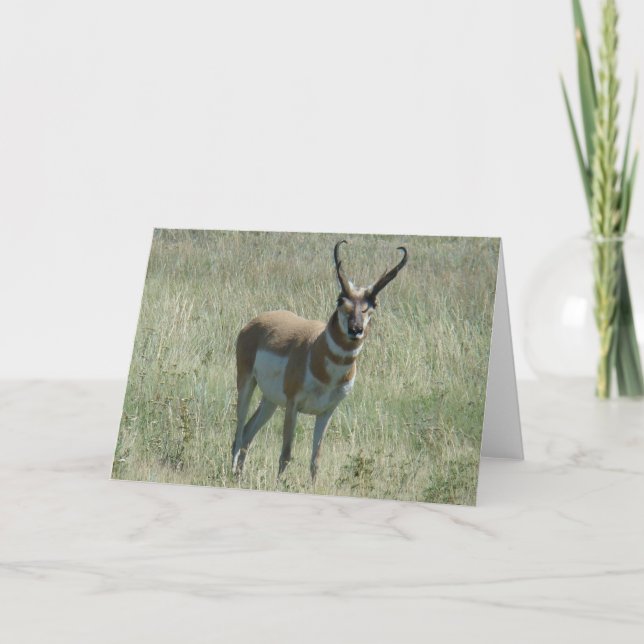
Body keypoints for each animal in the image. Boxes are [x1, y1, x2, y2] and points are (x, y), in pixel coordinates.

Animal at [232, 240, 408, 481]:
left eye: (373, 304)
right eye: (340, 300)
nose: (356, 330)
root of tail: (255, 322)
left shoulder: (326, 412)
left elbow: (316, 460)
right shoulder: (293, 405)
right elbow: (286, 454)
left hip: (270, 400)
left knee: (249, 431)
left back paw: (239, 476)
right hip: (247, 384)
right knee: (238, 433)